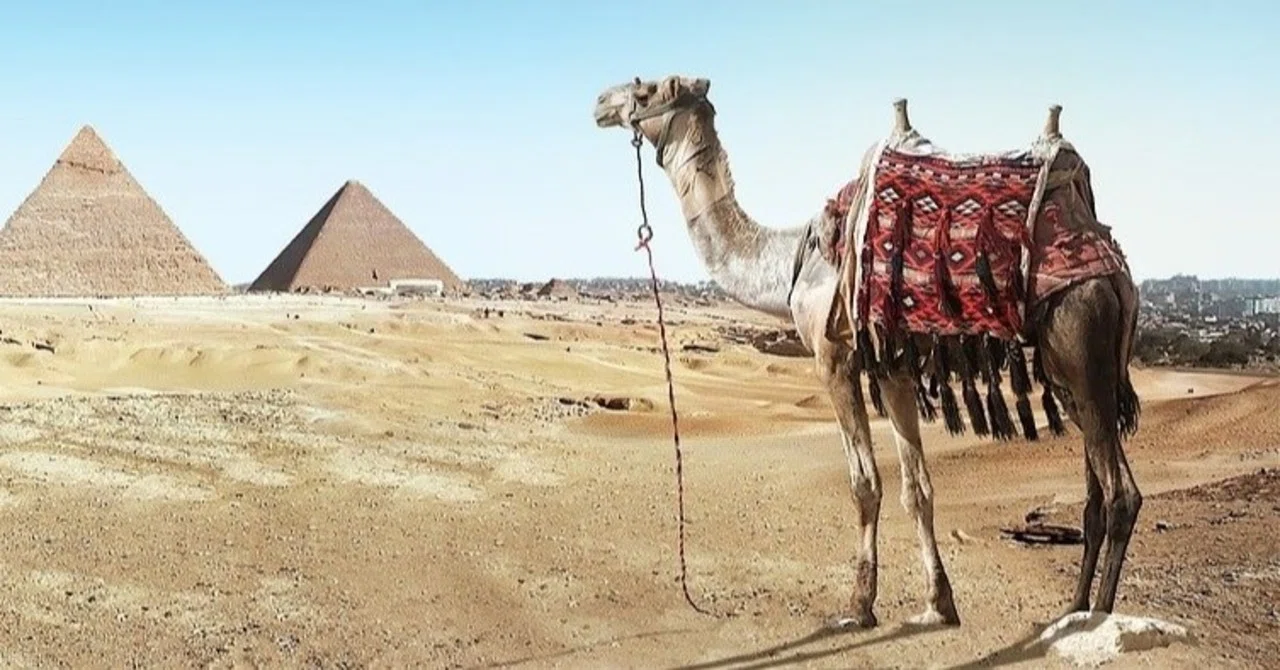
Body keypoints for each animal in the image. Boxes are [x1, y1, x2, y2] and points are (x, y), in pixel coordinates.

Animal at [593, 75, 1143, 628]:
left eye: (645, 90)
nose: (600, 103)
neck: (789, 261)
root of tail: (1114, 271)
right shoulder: (891, 367)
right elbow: (917, 489)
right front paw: (939, 603)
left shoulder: (832, 357)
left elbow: (865, 484)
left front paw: (858, 606)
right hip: (1070, 372)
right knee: (1096, 495)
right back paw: (1071, 611)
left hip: (1082, 338)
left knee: (1121, 495)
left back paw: (1100, 616)